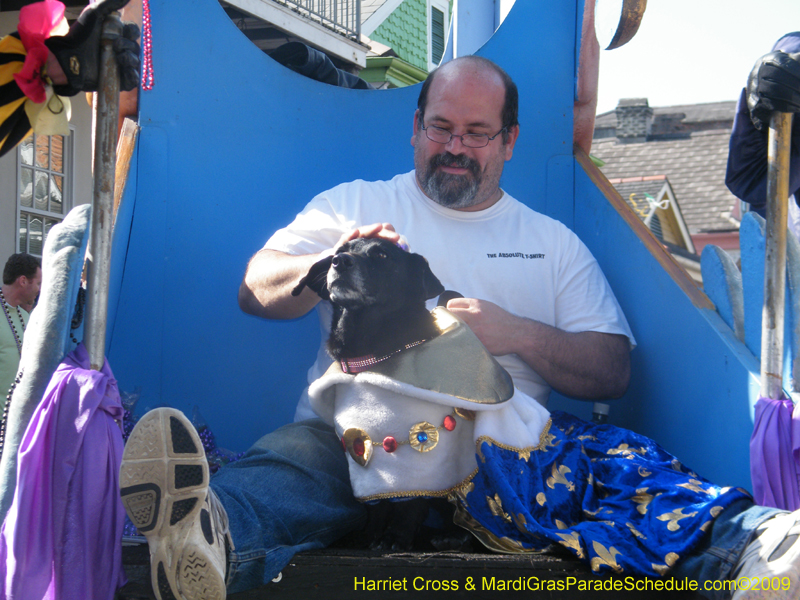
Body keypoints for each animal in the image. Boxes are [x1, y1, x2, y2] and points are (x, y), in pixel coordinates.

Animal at [292, 237, 468, 552]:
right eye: (339, 251)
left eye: (382, 255)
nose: (340, 261)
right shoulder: (364, 447)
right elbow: (377, 505)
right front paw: (370, 537)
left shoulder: (424, 451)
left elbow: (411, 504)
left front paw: (396, 539)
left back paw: (453, 535)